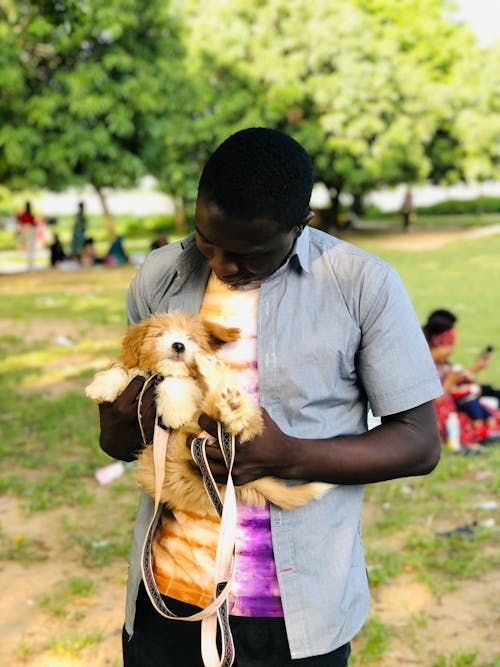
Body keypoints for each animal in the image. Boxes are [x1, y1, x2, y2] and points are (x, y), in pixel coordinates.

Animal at [86, 312, 330, 512]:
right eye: (160, 334)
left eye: (192, 339)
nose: (179, 345)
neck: (159, 375)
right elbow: (122, 369)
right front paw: (102, 387)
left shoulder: (192, 388)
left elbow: (177, 381)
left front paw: (176, 412)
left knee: (244, 422)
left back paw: (220, 383)